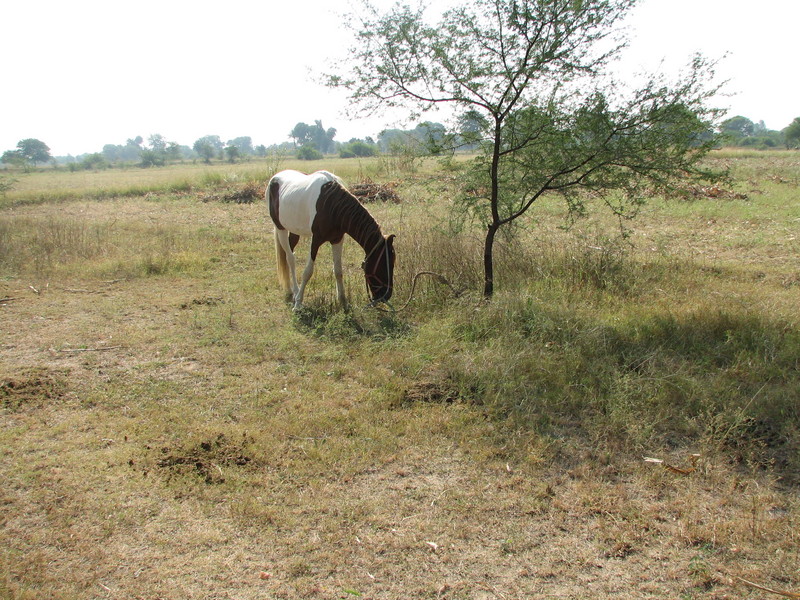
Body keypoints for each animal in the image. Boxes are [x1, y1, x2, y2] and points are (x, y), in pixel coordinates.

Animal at [268, 169, 396, 310]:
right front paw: (298, 303)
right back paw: (295, 293)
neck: (331, 205)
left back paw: (292, 291)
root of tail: (275, 178)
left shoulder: (337, 239)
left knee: (289, 254)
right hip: (281, 229)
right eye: (384, 264)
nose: (386, 295)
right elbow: (308, 272)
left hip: (294, 231)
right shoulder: (316, 240)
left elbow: (338, 271)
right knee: (290, 258)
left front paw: (343, 302)